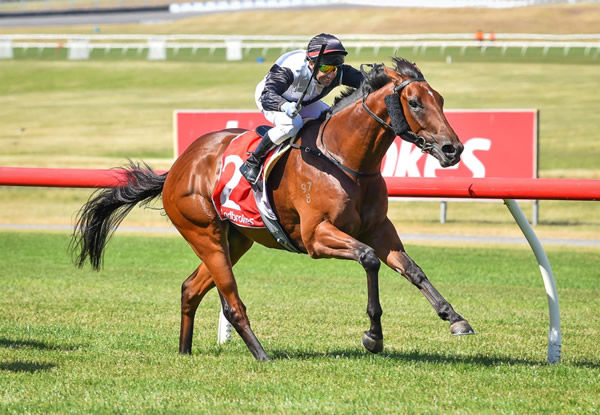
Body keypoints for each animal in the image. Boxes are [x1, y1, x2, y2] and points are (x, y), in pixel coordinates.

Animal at [71, 57, 474, 360]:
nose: (453, 149)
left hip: (235, 240)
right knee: (231, 302)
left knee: (190, 287)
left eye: (440, 99)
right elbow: (369, 258)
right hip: (204, 233)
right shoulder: (316, 237)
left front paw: (454, 317)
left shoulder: (379, 229)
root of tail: (178, 166)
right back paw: (262, 355)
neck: (344, 160)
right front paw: (373, 335)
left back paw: (185, 351)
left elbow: (412, 269)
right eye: (415, 102)